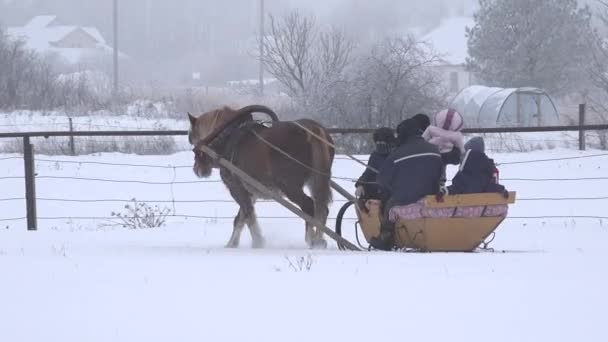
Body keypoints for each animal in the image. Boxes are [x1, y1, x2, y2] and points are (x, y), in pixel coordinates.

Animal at [188, 104, 334, 248]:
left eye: (192, 139)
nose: (197, 169)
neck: (227, 137)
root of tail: (312, 128)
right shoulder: (251, 192)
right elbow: (240, 218)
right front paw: (232, 244)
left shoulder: (236, 188)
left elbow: (248, 214)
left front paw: (258, 242)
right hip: (316, 180)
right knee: (322, 208)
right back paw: (320, 240)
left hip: (289, 186)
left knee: (309, 207)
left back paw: (312, 240)